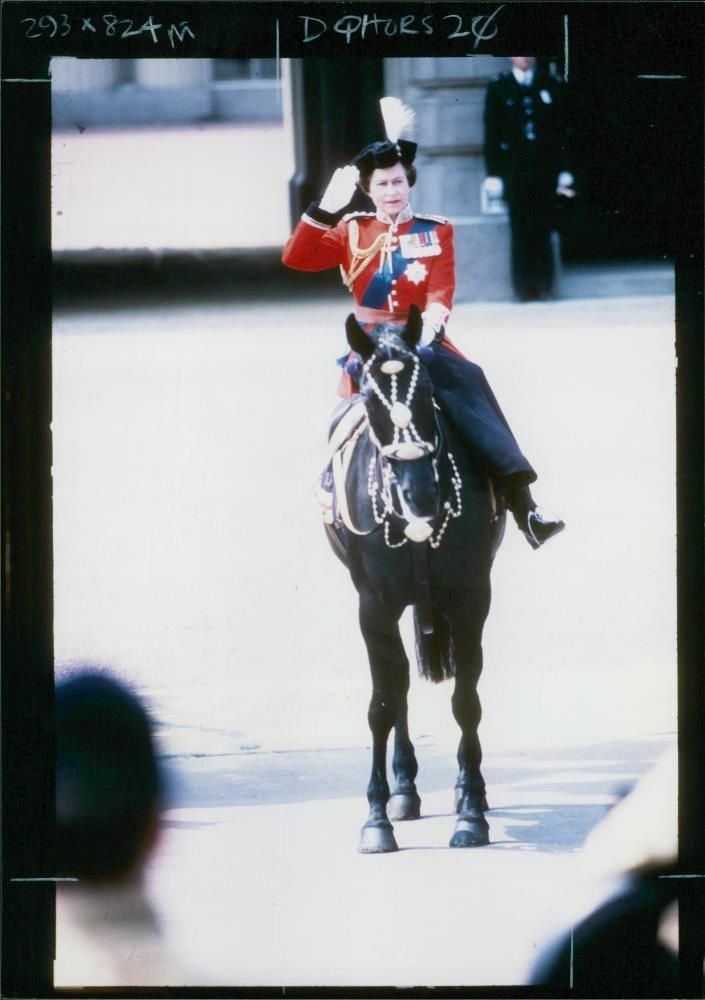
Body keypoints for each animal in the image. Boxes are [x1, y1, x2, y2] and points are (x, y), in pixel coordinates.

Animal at [328, 306, 504, 852]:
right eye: (369, 397)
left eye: (426, 388)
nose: (419, 491)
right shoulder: (373, 606)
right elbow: (383, 703)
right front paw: (376, 818)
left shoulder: (472, 599)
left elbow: (467, 701)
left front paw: (470, 813)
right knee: (400, 682)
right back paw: (404, 790)